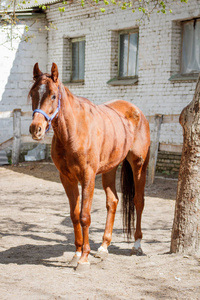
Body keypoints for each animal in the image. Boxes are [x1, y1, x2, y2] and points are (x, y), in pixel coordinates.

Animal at [28, 63, 150, 270]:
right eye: (32, 94)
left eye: (53, 95)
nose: (36, 129)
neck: (74, 132)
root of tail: (137, 112)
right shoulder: (67, 178)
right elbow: (74, 215)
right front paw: (77, 253)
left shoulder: (88, 177)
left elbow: (85, 216)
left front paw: (84, 259)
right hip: (110, 169)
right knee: (113, 201)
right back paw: (103, 247)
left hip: (139, 165)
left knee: (138, 201)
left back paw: (137, 245)